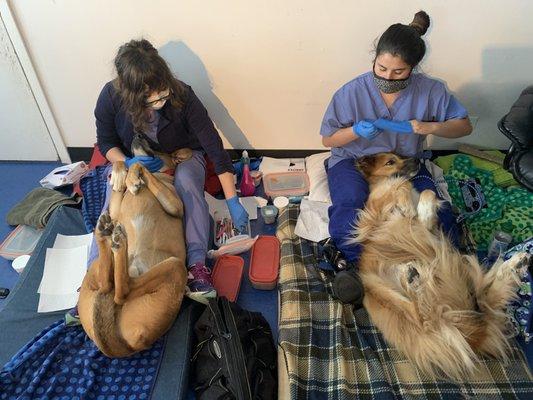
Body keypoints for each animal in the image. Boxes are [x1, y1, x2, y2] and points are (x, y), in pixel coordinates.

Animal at [78, 139, 194, 358]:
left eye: (156, 145)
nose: (137, 135)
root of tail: (125, 348)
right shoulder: (115, 213)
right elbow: (126, 163)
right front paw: (120, 175)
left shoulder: (175, 205)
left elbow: (139, 164)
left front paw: (132, 178)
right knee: (109, 284)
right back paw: (106, 235)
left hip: (175, 267)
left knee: (121, 289)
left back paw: (115, 243)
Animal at [350, 152, 528, 382]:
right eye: (390, 162)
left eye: (398, 156)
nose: (418, 160)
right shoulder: (372, 215)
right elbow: (401, 184)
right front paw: (408, 206)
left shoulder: (431, 230)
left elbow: (427, 193)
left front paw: (422, 209)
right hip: (379, 287)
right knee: (423, 317)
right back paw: (414, 281)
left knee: (484, 300)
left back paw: (517, 262)